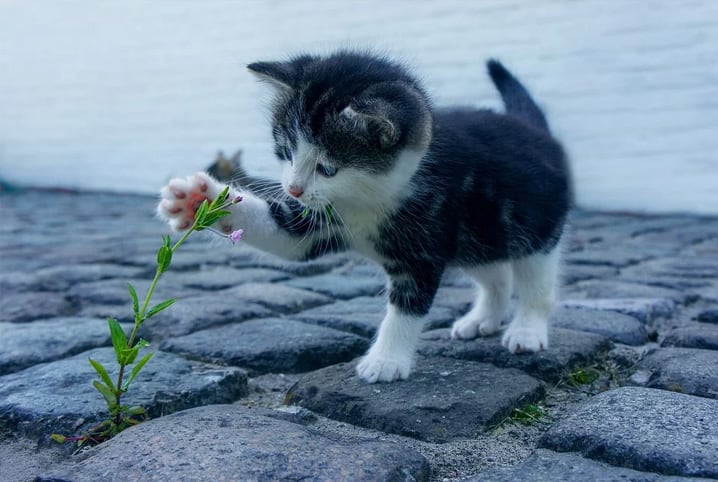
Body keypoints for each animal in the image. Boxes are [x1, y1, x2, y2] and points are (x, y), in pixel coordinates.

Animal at [159, 50, 572, 384]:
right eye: (286, 152)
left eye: (327, 168)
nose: (292, 189)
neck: (367, 198)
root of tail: (536, 130)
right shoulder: (318, 219)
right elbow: (285, 235)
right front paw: (199, 200)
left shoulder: (425, 242)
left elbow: (407, 306)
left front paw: (386, 361)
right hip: (478, 235)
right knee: (496, 274)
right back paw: (482, 319)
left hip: (534, 227)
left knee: (536, 282)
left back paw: (526, 330)